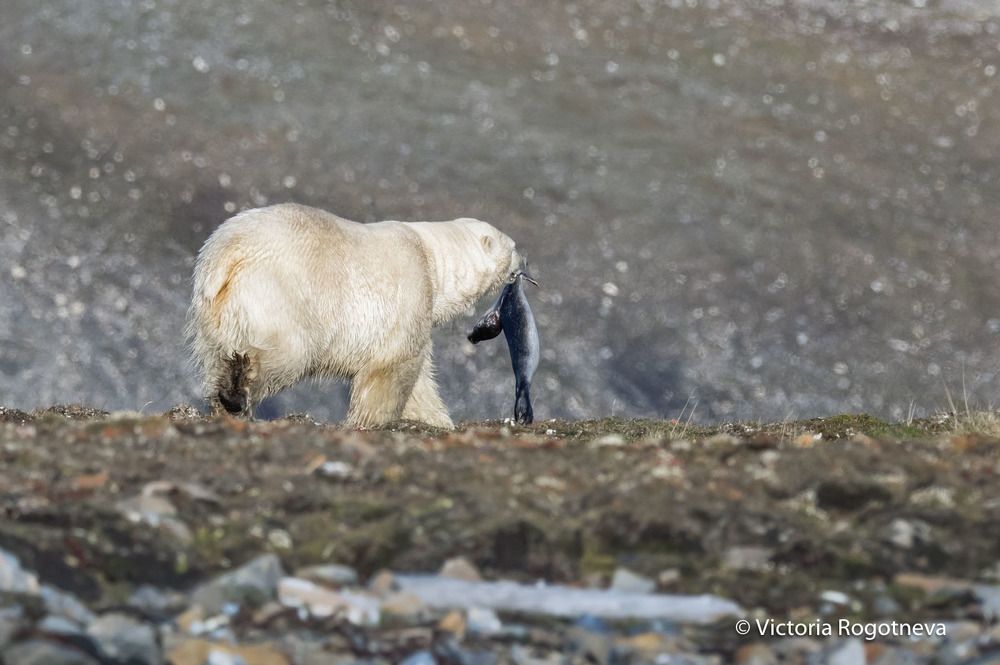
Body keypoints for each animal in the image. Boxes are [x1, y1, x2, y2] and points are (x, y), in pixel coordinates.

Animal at [186, 203, 521, 428]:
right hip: (279, 298)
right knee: (282, 353)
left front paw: (437, 421)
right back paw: (237, 394)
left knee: (217, 356)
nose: (523, 261)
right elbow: (394, 368)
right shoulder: (410, 293)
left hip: (212, 313)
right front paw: (373, 420)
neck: (430, 257)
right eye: (513, 246)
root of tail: (228, 254)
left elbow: (419, 380)